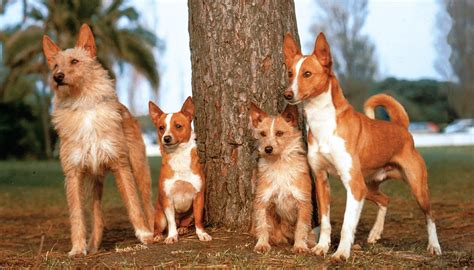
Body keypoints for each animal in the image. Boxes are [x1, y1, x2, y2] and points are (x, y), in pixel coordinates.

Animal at [42, 24, 154, 256]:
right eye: (55, 64)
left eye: (74, 61)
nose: (57, 77)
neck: (83, 105)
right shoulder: (73, 174)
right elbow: (77, 214)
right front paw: (77, 247)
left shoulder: (121, 165)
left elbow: (133, 204)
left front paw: (144, 234)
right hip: (94, 180)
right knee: (97, 215)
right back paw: (93, 244)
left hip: (139, 168)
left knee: (148, 203)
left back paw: (155, 230)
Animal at [149, 97, 212, 245]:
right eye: (161, 128)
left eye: (178, 126)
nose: (166, 138)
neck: (178, 156)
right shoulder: (167, 199)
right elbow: (171, 222)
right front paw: (172, 236)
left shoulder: (198, 196)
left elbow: (199, 220)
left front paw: (201, 234)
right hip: (160, 216)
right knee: (160, 227)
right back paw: (158, 236)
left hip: (190, 213)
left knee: (185, 222)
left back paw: (183, 228)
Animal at [248, 103, 314, 253]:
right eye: (262, 134)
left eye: (279, 133)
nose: (267, 149)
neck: (279, 164)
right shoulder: (262, 200)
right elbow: (263, 225)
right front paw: (262, 244)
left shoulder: (304, 202)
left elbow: (301, 227)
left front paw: (300, 246)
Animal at [282, 32, 440, 260]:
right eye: (290, 73)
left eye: (307, 74)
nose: (287, 94)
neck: (323, 122)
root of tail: (401, 127)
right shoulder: (322, 179)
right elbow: (326, 222)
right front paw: (322, 247)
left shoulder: (353, 185)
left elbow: (347, 224)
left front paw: (341, 253)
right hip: (368, 186)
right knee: (385, 199)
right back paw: (375, 233)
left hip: (415, 188)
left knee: (430, 216)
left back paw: (434, 246)